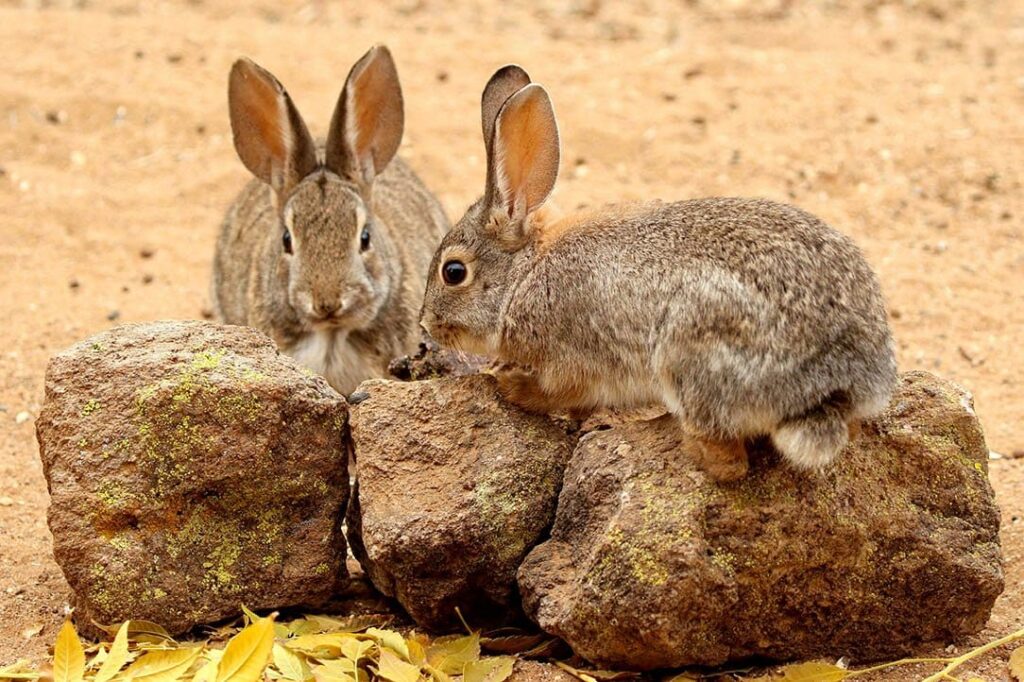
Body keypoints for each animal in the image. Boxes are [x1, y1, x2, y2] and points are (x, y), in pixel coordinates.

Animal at [419, 65, 897, 480]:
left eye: (453, 272)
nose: (426, 325)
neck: (522, 277)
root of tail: (837, 383)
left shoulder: (573, 359)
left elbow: (559, 394)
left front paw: (508, 384)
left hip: (687, 355)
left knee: (729, 463)